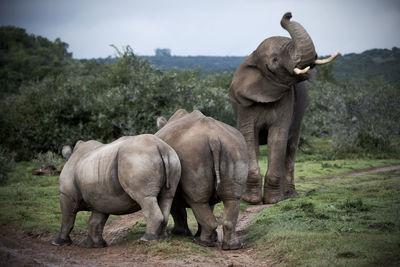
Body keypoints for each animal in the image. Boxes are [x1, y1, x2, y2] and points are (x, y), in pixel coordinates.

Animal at [52, 135, 180, 248]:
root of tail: (160, 147)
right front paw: (94, 245)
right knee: (166, 197)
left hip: (137, 159)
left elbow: (67, 219)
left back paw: (146, 240)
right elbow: (95, 221)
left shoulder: (66, 195)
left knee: (145, 198)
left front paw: (58, 243)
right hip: (172, 158)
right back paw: (162, 238)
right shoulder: (101, 198)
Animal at [155, 109, 247, 251]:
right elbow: (208, 206)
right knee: (230, 199)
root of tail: (214, 138)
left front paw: (178, 234)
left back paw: (201, 243)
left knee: (197, 202)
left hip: (192, 154)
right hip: (233, 148)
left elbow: (177, 210)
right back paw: (232, 246)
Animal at [228, 12, 338, 205]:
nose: (288, 15)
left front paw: (273, 201)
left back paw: (288, 196)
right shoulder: (244, 104)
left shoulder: (287, 99)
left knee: (290, 149)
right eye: (275, 60)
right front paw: (251, 201)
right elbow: (249, 136)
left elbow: (277, 137)